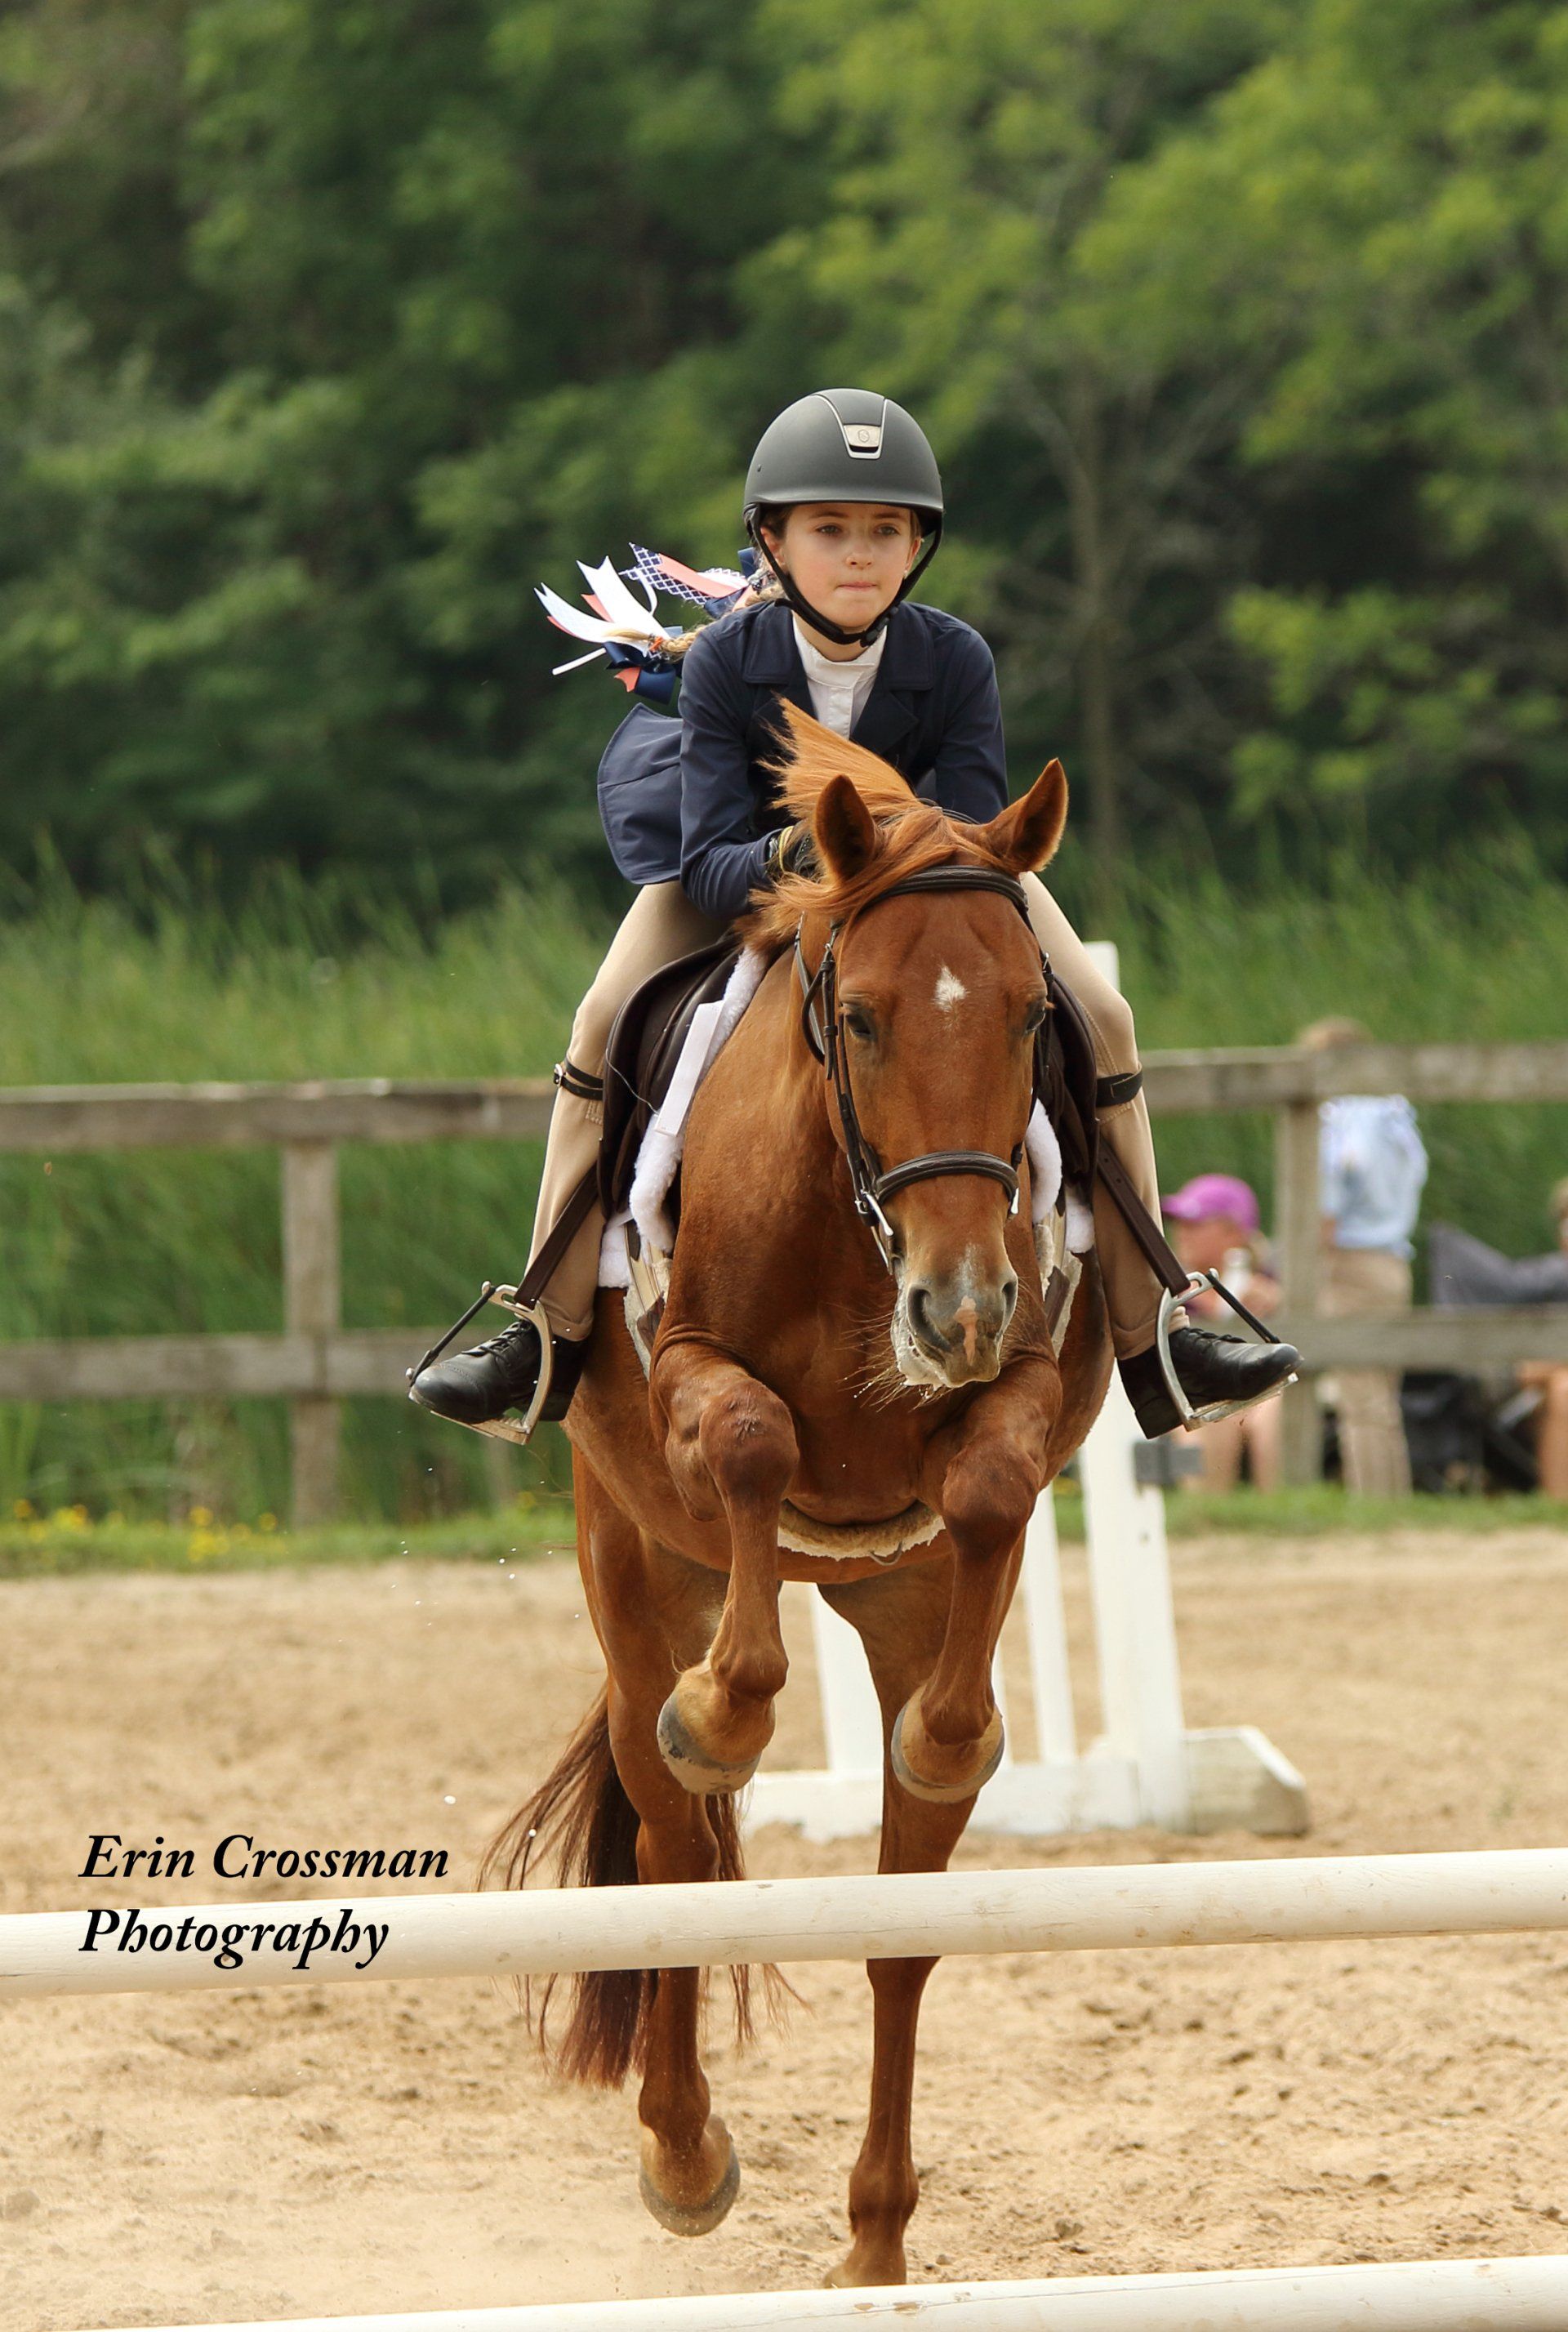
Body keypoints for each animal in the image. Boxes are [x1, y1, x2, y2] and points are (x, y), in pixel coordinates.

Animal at [486, 710, 1113, 2288]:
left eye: (1029, 1018)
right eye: (867, 1018)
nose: (958, 1305)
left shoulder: (1027, 1378)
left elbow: (992, 1479)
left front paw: (949, 1738)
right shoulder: (689, 1376)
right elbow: (761, 1443)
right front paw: (726, 1709)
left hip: (893, 1600)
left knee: (898, 1927)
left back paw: (877, 2245)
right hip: (634, 1566)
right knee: (670, 1846)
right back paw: (684, 2152)